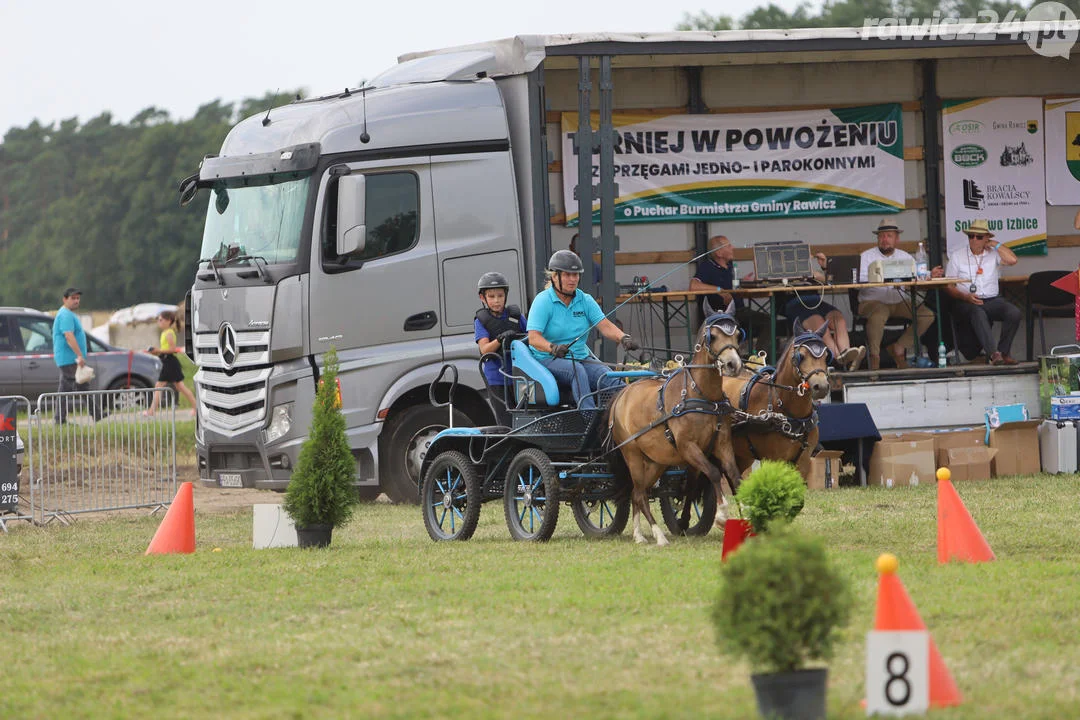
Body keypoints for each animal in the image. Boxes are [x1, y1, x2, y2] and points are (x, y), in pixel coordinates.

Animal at [604, 315, 747, 546]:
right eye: (714, 336)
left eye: (736, 335)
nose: (733, 364)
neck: (701, 395)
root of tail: (622, 394)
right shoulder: (688, 447)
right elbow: (714, 473)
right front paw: (722, 515)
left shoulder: (722, 443)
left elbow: (734, 476)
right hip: (632, 454)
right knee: (640, 494)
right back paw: (659, 535)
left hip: (656, 461)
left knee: (637, 492)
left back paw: (639, 535)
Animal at [725, 325, 833, 472]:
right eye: (801, 356)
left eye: (827, 357)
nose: (821, 386)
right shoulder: (774, 459)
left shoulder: (803, 461)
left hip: (742, 456)